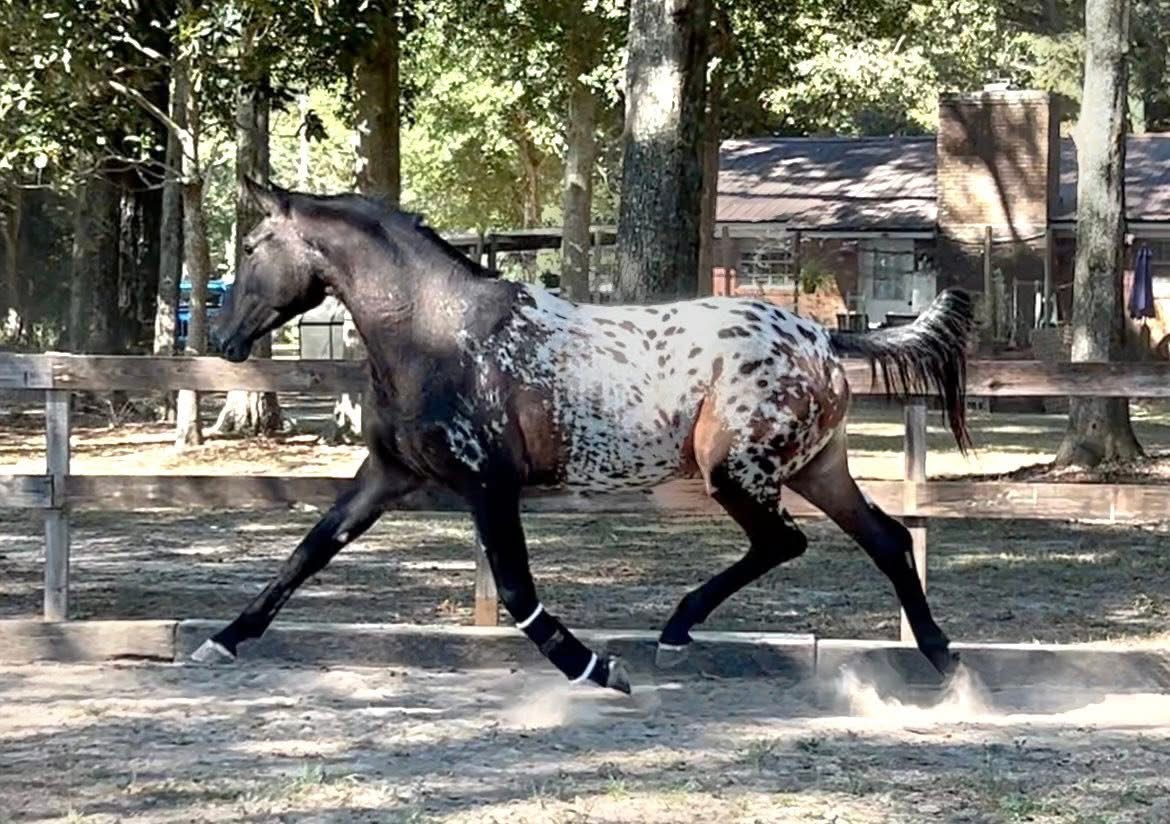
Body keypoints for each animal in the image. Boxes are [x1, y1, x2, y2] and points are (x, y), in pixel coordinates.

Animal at [195, 179, 976, 694]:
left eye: (254, 245)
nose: (223, 339)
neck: (436, 329)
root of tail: (819, 335)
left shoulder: (489, 484)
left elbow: (515, 589)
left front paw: (597, 669)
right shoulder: (387, 474)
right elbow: (308, 552)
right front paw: (221, 641)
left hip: (738, 471)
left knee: (786, 542)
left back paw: (675, 631)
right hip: (817, 467)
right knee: (887, 540)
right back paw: (945, 661)